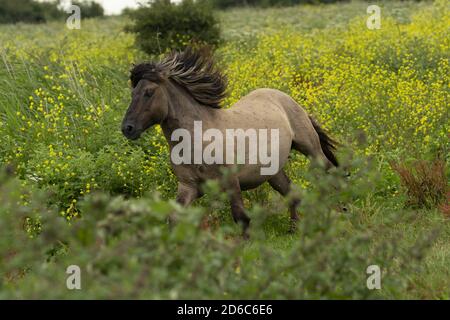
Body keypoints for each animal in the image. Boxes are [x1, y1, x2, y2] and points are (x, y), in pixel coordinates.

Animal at [120, 47, 338, 238]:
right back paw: (294, 229)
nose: (127, 128)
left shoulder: (231, 182)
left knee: (328, 171)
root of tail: (286, 98)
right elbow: (174, 218)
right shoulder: (189, 186)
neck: (198, 140)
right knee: (292, 193)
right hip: (272, 172)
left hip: (310, 148)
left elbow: (241, 217)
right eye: (132, 94)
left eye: (148, 92)